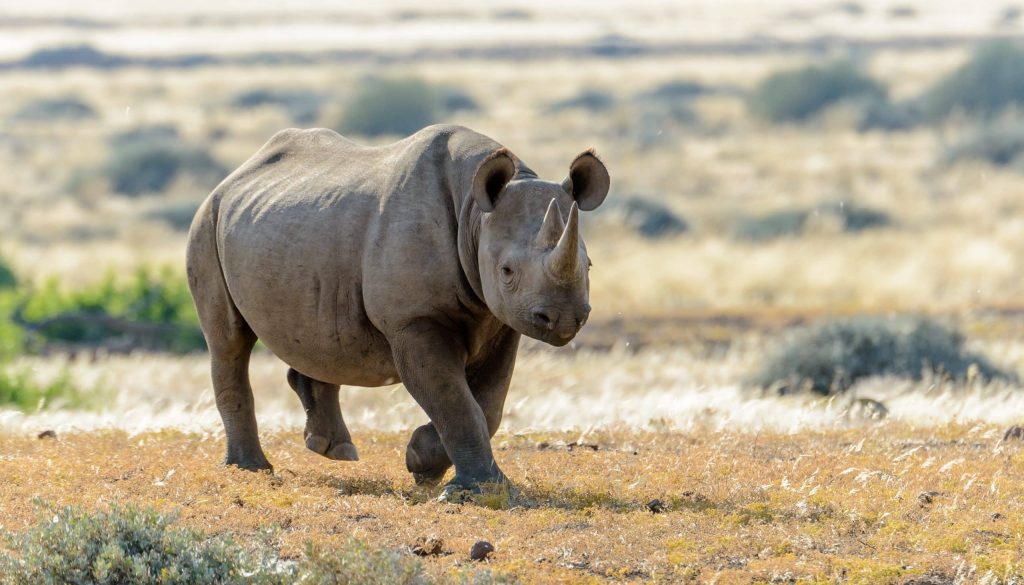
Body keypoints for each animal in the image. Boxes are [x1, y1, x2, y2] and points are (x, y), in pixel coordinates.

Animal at [186, 124, 609, 496]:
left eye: (589, 266)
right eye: (506, 271)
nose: (563, 318)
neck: (475, 216)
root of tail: (233, 176)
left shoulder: (502, 321)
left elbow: (489, 404)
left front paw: (423, 463)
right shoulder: (414, 319)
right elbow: (456, 400)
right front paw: (472, 488)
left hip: (293, 231)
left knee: (316, 335)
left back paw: (334, 450)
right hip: (207, 221)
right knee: (229, 342)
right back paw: (250, 468)